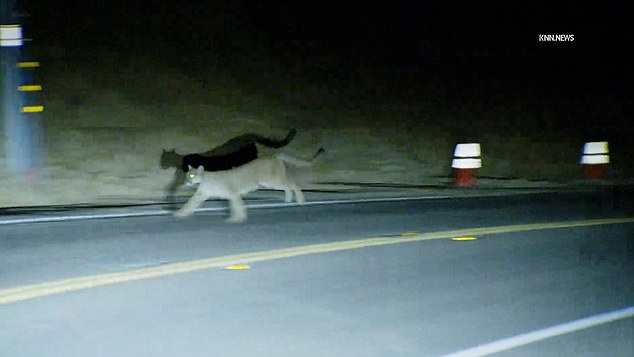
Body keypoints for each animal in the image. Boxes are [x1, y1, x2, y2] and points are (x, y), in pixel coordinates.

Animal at [173, 147, 324, 222]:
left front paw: (236, 218)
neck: (204, 180)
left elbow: (236, 206)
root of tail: (274, 155)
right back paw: (288, 200)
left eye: (192, 175)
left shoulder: (233, 193)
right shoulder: (200, 195)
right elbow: (189, 204)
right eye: (187, 174)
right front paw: (180, 214)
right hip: (270, 182)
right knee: (287, 186)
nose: (186, 181)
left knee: (293, 184)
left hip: (271, 180)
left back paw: (300, 201)